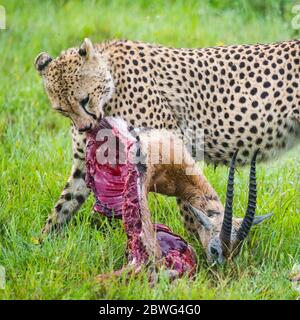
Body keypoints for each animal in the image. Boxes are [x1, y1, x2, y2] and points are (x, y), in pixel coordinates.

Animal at [35, 38, 300, 244]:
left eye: (84, 99)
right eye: (62, 109)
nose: (85, 127)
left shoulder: (172, 145)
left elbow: (188, 201)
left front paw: (198, 245)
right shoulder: (84, 164)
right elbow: (63, 206)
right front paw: (40, 245)